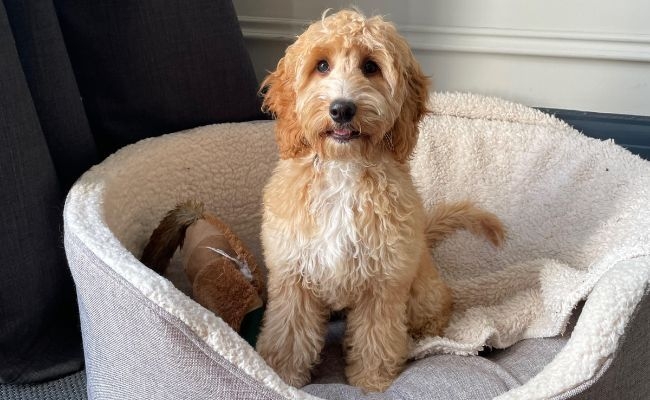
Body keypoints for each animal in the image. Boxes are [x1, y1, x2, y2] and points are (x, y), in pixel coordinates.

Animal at [253, 10, 502, 394]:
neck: (344, 167)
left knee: (437, 309)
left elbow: (377, 336)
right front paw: (282, 376)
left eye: (370, 67)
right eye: (321, 65)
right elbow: (289, 333)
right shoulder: (294, 274)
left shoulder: (384, 282)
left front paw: (371, 380)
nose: (342, 109)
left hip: (421, 288)